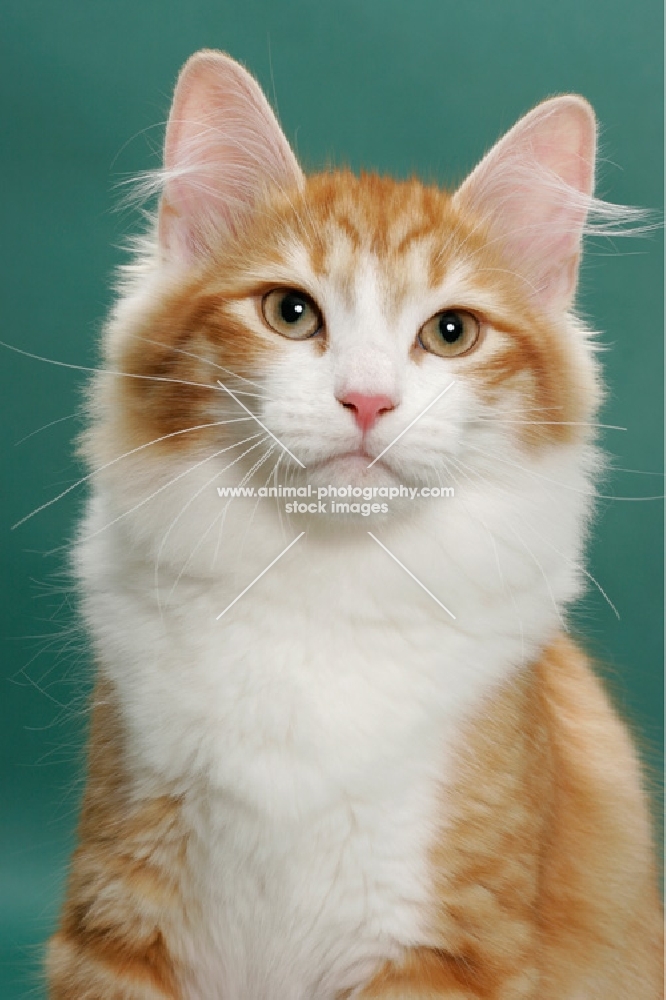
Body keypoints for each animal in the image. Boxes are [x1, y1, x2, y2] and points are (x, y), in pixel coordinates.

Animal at [45, 48, 660, 1000]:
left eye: (451, 332)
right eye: (291, 313)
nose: (367, 400)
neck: (321, 586)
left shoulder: (445, 946)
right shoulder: (116, 914)